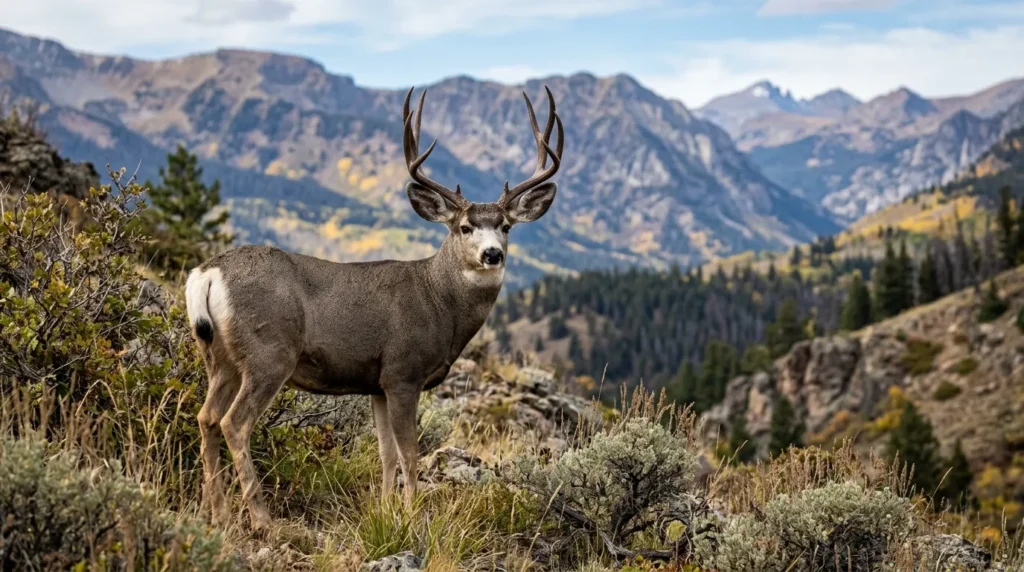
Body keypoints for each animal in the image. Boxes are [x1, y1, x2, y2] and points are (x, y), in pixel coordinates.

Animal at [184, 85, 564, 530]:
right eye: (464, 227)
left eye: (505, 226)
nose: (492, 254)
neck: (439, 303)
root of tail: (207, 273)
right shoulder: (403, 371)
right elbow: (409, 453)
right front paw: (413, 514)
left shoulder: (377, 384)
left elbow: (385, 453)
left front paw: (384, 511)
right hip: (269, 352)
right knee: (235, 422)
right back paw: (261, 518)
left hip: (219, 356)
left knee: (206, 417)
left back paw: (217, 513)